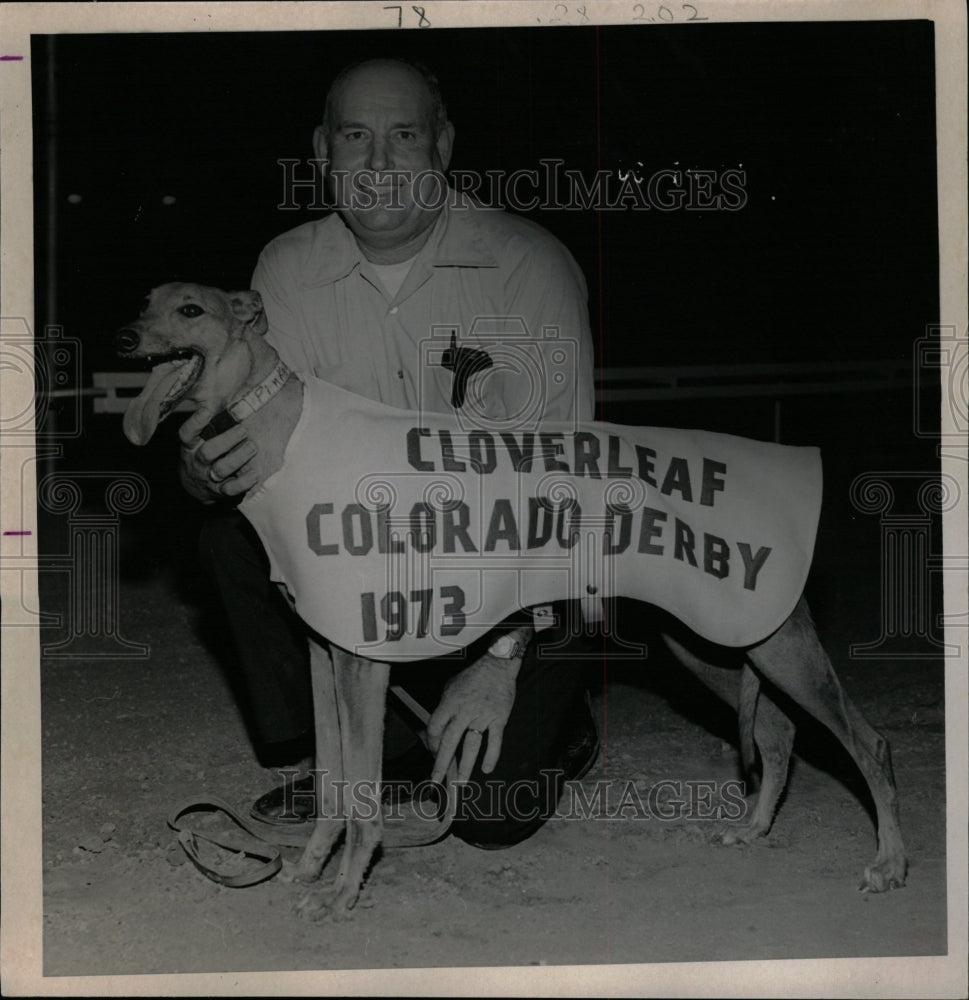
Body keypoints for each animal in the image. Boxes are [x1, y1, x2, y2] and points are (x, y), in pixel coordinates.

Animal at [115, 280, 908, 916]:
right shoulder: (324, 650)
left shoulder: (363, 658)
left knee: (866, 742)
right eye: (146, 300)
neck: (285, 431)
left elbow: (365, 795)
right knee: (775, 734)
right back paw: (753, 826)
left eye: (191, 309)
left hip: (772, 644)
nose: (123, 334)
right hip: (716, 643)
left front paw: (343, 892)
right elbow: (336, 784)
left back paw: (888, 863)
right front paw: (311, 868)